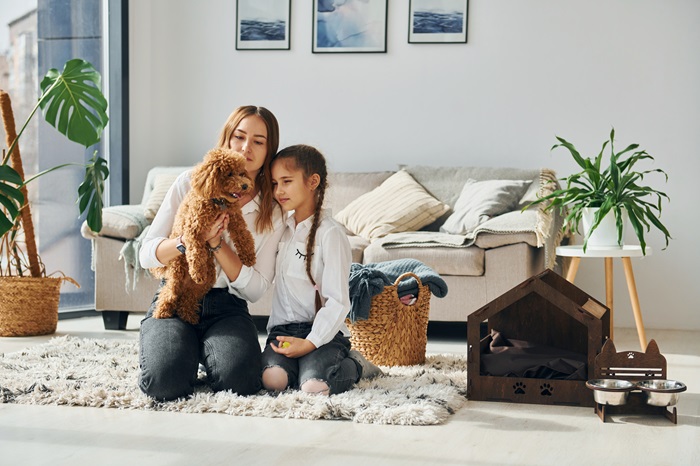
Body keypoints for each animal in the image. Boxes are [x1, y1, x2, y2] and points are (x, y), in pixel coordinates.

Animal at [150, 148, 258, 324]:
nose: (245, 185)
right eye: (229, 174)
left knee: (188, 297)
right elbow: (196, 252)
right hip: (177, 274)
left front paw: (249, 257)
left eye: (242, 173)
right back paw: (162, 312)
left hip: (206, 282)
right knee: (169, 293)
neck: (218, 201)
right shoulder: (193, 230)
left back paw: (188, 316)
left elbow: (243, 235)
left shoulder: (235, 219)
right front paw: (197, 271)